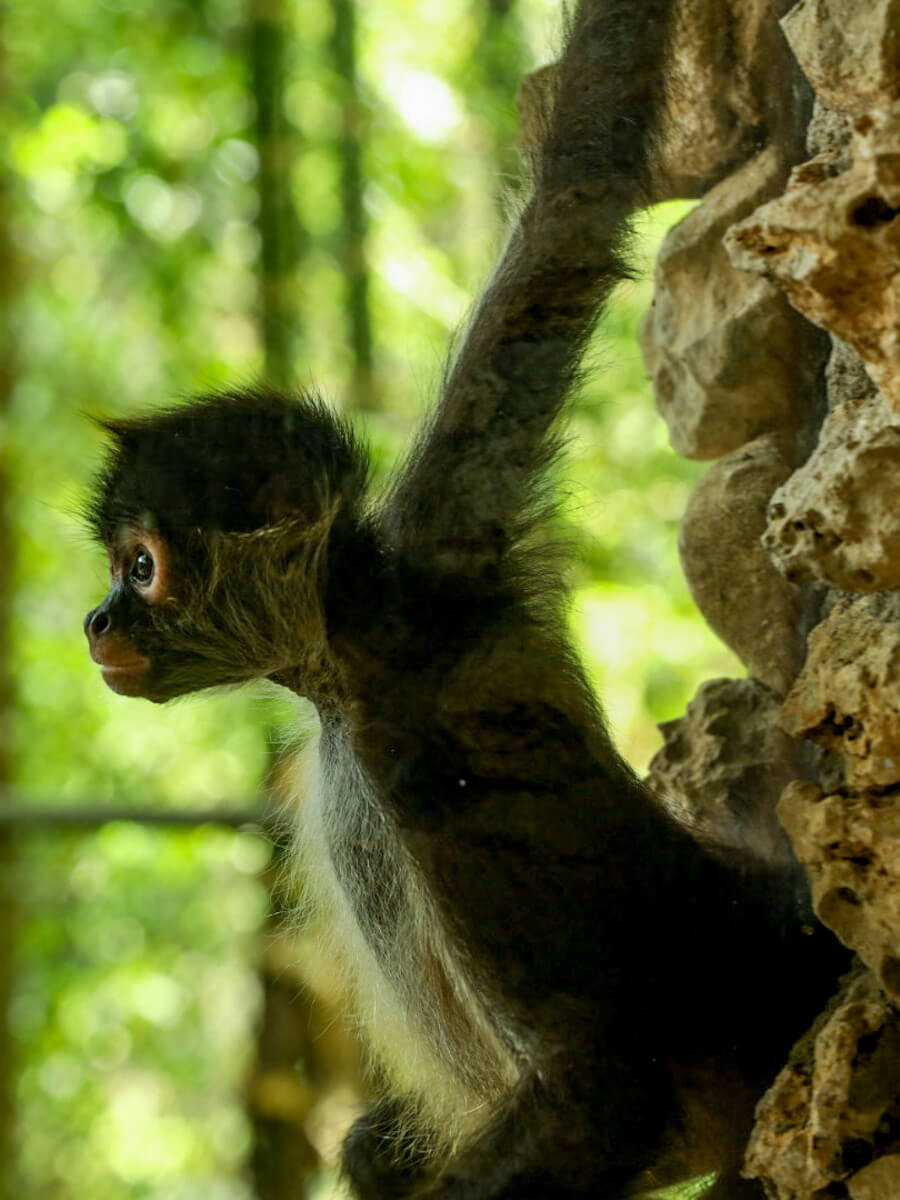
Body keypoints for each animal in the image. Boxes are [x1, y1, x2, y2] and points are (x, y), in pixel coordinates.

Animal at [83, 1, 849, 1196]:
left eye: (142, 568)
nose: (97, 621)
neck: (358, 643)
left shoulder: (426, 736)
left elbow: (603, 1092)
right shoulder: (449, 529)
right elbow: (573, 204)